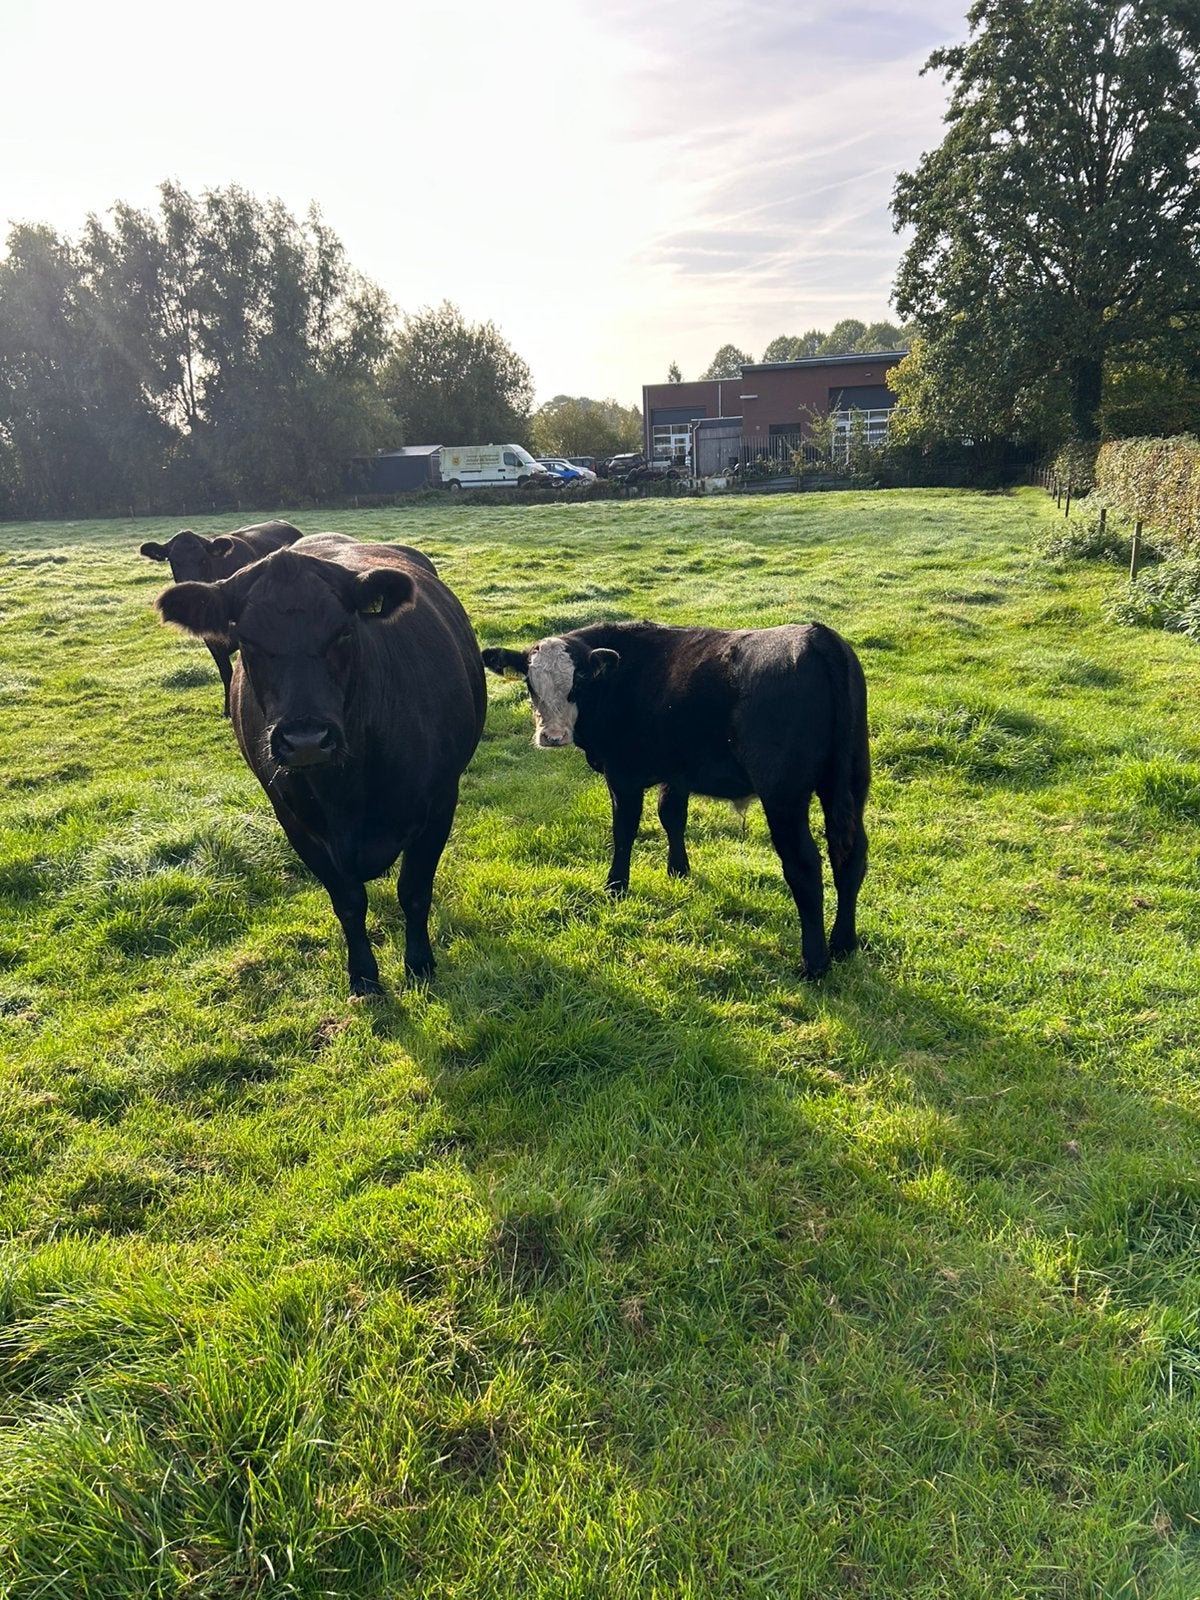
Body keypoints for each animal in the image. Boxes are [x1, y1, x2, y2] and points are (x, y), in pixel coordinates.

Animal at [156, 534, 485, 996]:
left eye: (344, 631)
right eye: (247, 640)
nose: (305, 740)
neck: (348, 790)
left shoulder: (439, 802)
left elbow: (415, 891)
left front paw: (419, 965)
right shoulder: (294, 821)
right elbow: (348, 902)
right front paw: (363, 977)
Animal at [482, 621, 869, 979]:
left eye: (577, 683)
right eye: (531, 685)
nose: (551, 736)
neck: (620, 679)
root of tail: (816, 635)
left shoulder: (622, 776)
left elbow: (624, 830)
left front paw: (615, 887)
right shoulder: (678, 772)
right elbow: (672, 817)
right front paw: (678, 871)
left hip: (784, 797)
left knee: (805, 866)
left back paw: (814, 963)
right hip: (851, 782)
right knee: (851, 856)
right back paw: (844, 943)